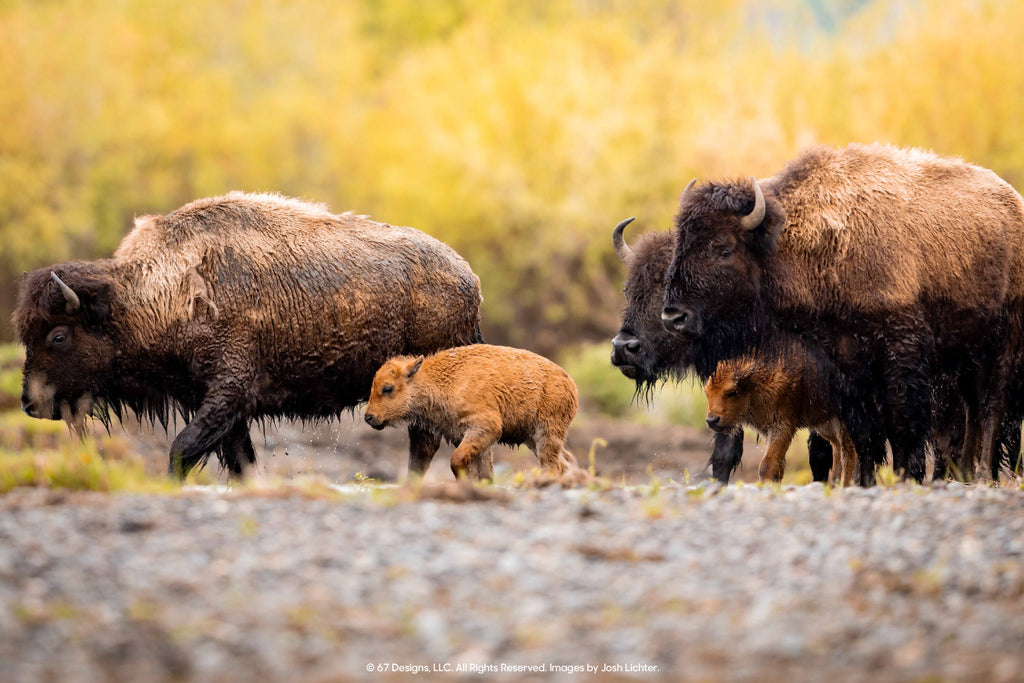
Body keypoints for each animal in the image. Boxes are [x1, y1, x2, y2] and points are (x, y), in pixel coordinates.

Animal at [12, 192, 483, 479]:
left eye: (58, 336)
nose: (30, 403)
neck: (161, 294)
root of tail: (469, 278)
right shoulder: (220, 406)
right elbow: (239, 461)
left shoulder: (229, 391)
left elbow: (182, 448)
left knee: (424, 441)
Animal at [364, 348, 585, 481]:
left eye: (387, 388)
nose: (368, 417)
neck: (443, 379)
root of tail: (570, 383)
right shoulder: (468, 436)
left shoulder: (485, 427)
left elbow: (456, 460)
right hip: (532, 438)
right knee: (565, 459)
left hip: (546, 434)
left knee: (553, 465)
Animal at [655, 145, 1024, 485]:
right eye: (681, 245)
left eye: (723, 249)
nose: (673, 317)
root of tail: (1014, 204)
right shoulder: (848, 370)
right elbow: (864, 436)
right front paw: (866, 482)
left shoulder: (900, 357)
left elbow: (902, 425)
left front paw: (905, 476)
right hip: (966, 357)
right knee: (975, 411)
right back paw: (968, 473)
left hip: (1003, 344)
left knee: (992, 408)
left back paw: (981, 474)